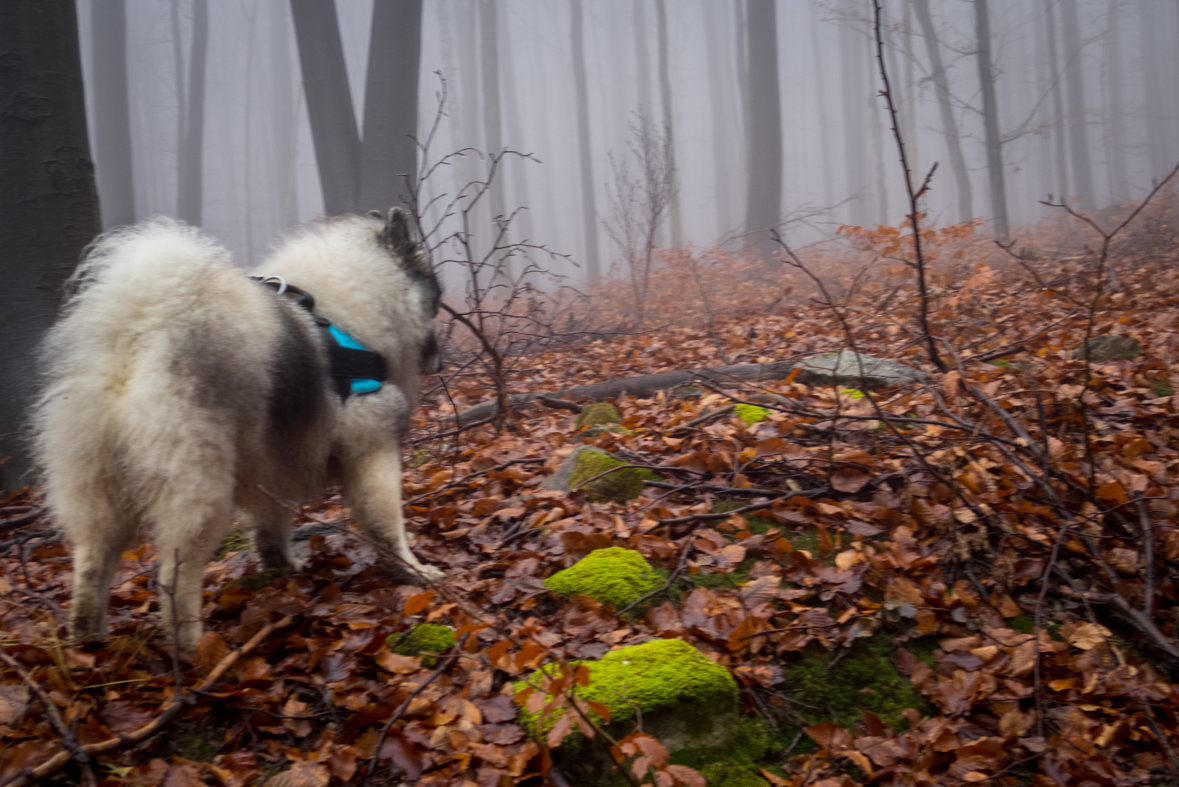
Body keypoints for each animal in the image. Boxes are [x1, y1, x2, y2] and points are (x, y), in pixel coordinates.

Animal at [34, 208, 445, 650]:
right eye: (436, 299)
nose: (440, 356)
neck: (345, 315)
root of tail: (140, 336)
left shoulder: (275, 462)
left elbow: (272, 528)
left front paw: (282, 570)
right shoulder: (372, 449)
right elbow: (387, 525)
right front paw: (414, 571)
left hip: (99, 486)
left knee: (92, 563)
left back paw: (86, 639)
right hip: (200, 488)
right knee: (173, 575)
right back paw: (193, 647)